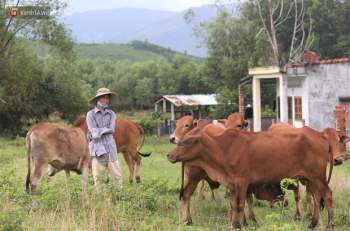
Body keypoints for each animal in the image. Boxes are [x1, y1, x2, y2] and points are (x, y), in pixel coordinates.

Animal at [168, 125, 334, 230]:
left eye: (188, 141)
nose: (170, 155)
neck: (223, 149)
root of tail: (320, 135)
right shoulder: (232, 184)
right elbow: (234, 205)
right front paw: (237, 224)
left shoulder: (242, 182)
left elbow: (240, 205)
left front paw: (238, 224)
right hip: (310, 179)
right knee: (317, 197)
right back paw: (313, 223)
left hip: (317, 177)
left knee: (327, 195)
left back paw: (329, 224)